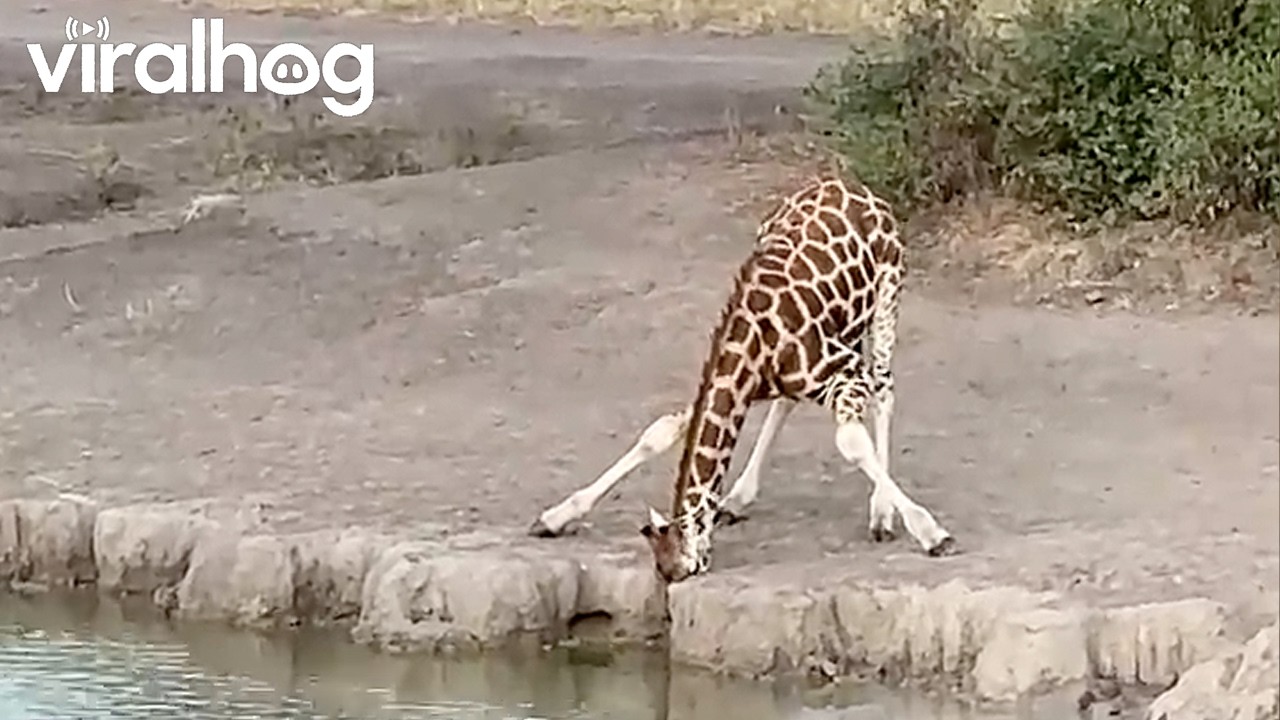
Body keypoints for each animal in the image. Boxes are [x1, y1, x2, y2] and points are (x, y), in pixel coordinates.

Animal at [529, 175, 956, 583]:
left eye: (681, 570)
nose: (672, 583)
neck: (753, 344)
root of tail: (860, 189)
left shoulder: (847, 369)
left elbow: (851, 441)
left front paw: (932, 533)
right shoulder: (745, 382)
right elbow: (660, 431)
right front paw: (555, 517)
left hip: (887, 293)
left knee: (884, 387)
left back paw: (882, 515)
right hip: (848, 322)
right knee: (791, 400)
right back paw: (737, 498)